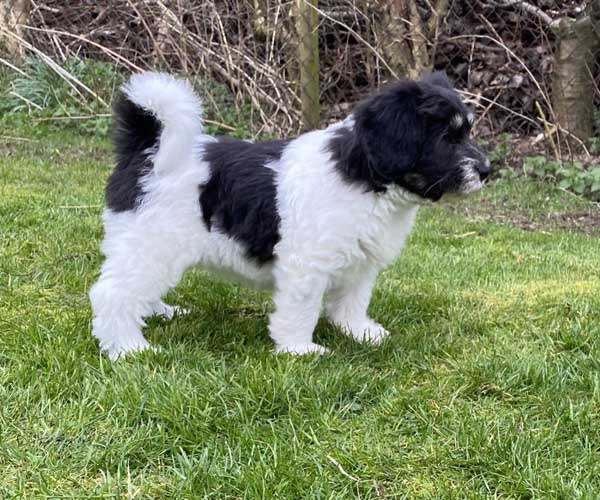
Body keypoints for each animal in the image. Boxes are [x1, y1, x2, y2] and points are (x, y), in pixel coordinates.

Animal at [89, 71, 490, 360]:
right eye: (447, 138)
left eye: (466, 132)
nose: (487, 171)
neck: (363, 176)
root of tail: (147, 147)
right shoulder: (306, 266)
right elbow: (302, 308)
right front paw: (299, 349)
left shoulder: (361, 260)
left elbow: (353, 299)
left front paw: (359, 331)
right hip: (151, 243)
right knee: (113, 293)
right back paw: (129, 348)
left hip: (151, 247)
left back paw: (159, 312)